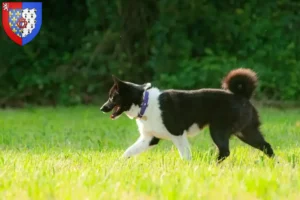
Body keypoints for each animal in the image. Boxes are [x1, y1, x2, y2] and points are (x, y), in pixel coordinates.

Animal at [100, 69, 274, 162]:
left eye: (112, 97)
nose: (102, 108)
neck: (144, 102)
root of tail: (242, 95)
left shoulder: (178, 135)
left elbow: (185, 155)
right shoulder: (149, 139)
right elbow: (128, 151)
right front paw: (118, 164)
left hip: (218, 130)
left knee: (225, 152)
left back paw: (212, 165)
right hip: (245, 132)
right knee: (267, 146)